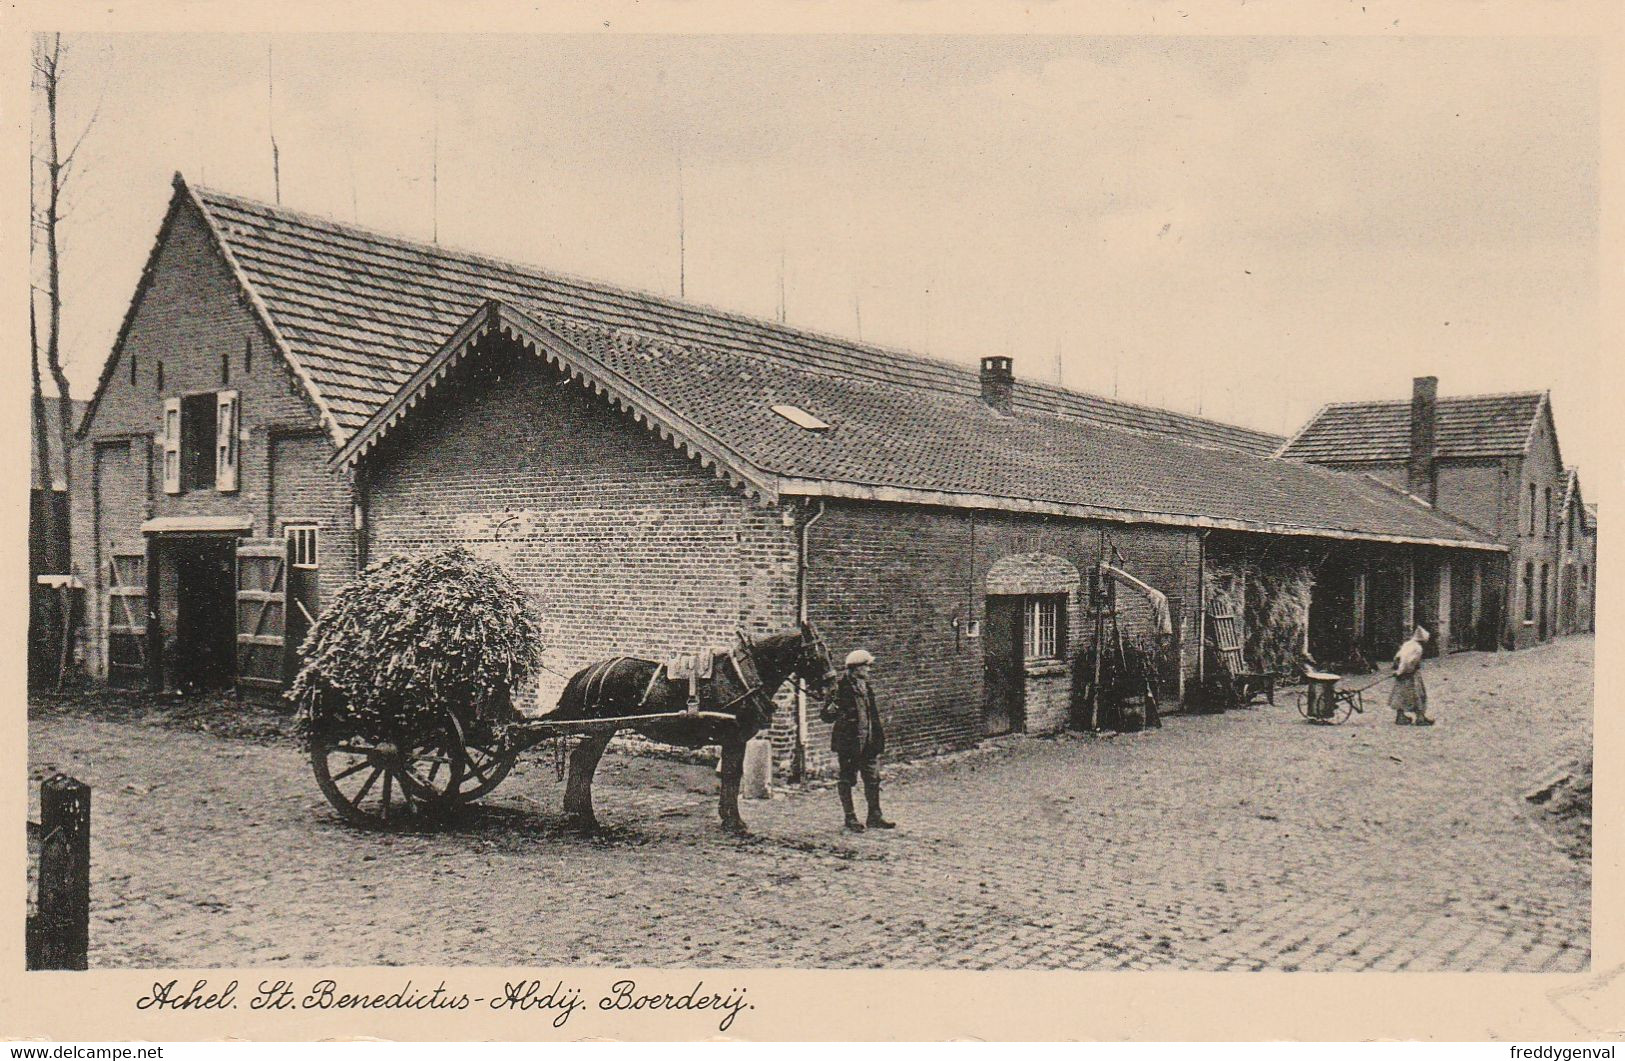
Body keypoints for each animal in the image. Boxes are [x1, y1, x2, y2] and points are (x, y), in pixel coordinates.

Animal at [546, 620, 838, 838]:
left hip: (599, 730)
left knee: (580, 762)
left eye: (830, 653)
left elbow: (731, 777)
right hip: (601, 730)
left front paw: (728, 818)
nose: (832, 698)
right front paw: (734, 821)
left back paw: (575, 812)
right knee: (583, 763)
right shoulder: (735, 738)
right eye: (816, 655)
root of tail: (589, 671)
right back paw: (587, 818)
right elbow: (732, 776)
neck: (743, 677)